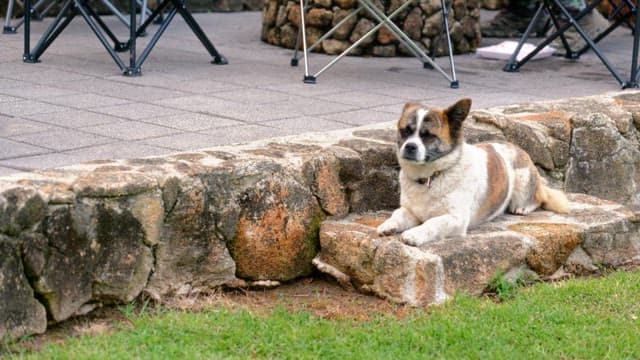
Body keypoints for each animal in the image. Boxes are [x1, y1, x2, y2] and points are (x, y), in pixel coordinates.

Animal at [376, 97, 568, 248]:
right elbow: (398, 214)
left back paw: (524, 207)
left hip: (523, 182)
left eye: (428, 135)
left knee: (539, 198)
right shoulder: (411, 211)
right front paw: (389, 225)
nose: (410, 146)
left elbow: (432, 222)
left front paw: (415, 234)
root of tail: (517, 148)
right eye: (405, 131)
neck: (432, 176)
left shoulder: (456, 219)